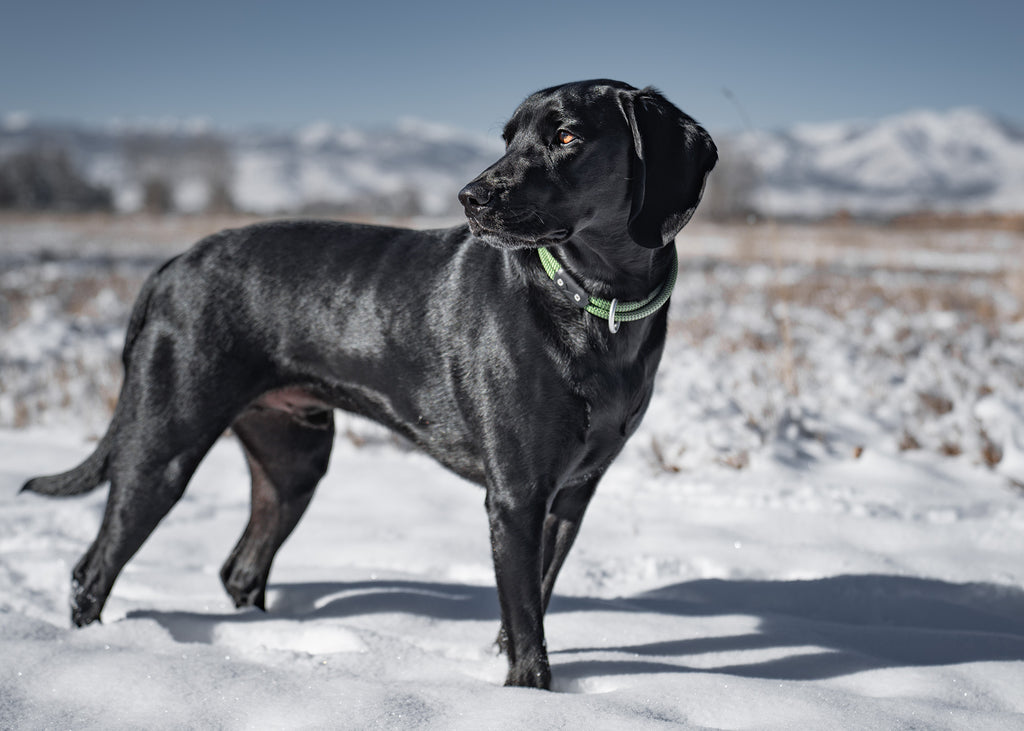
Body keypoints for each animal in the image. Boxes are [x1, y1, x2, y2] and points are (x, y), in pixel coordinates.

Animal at [22, 81, 712, 688]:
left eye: (566, 135)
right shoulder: (515, 496)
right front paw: (529, 695)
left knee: (240, 568)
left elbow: (533, 601)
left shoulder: (571, 495)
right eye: (509, 139)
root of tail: (169, 268)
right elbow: (526, 625)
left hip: (293, 460)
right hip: (163, 447)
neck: (597, 305)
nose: (470, 196)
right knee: (92, 570)